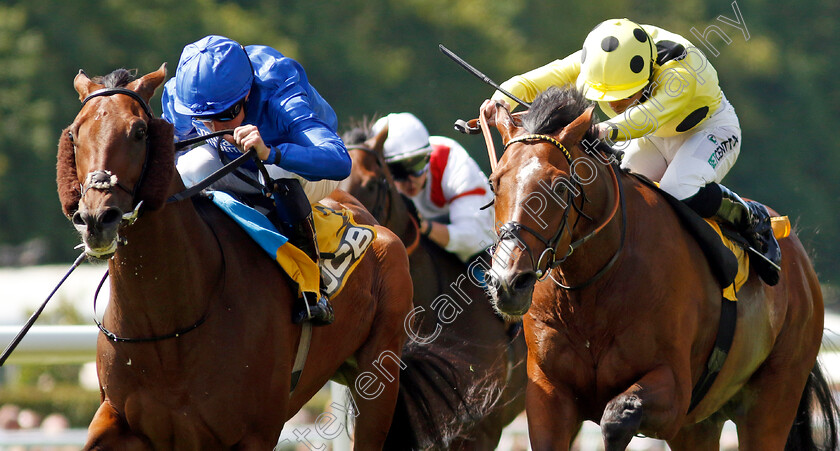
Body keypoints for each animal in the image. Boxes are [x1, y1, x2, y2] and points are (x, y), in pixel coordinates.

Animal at [55, 65, 436, 450]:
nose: (96, 219)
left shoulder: (254, 432)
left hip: (378, 373)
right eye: (74, 133)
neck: (169, 326)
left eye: (139, 131)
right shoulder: (118, 421)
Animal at [482, 86, 836, 450]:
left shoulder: (674, 391)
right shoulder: (548, 396)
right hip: (700, 425)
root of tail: (800, 262)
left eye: (561, 186)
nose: (509, 282)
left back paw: (760, 228)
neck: (592, 290)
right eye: (495, 183)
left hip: (772, 400)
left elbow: (617, 418)